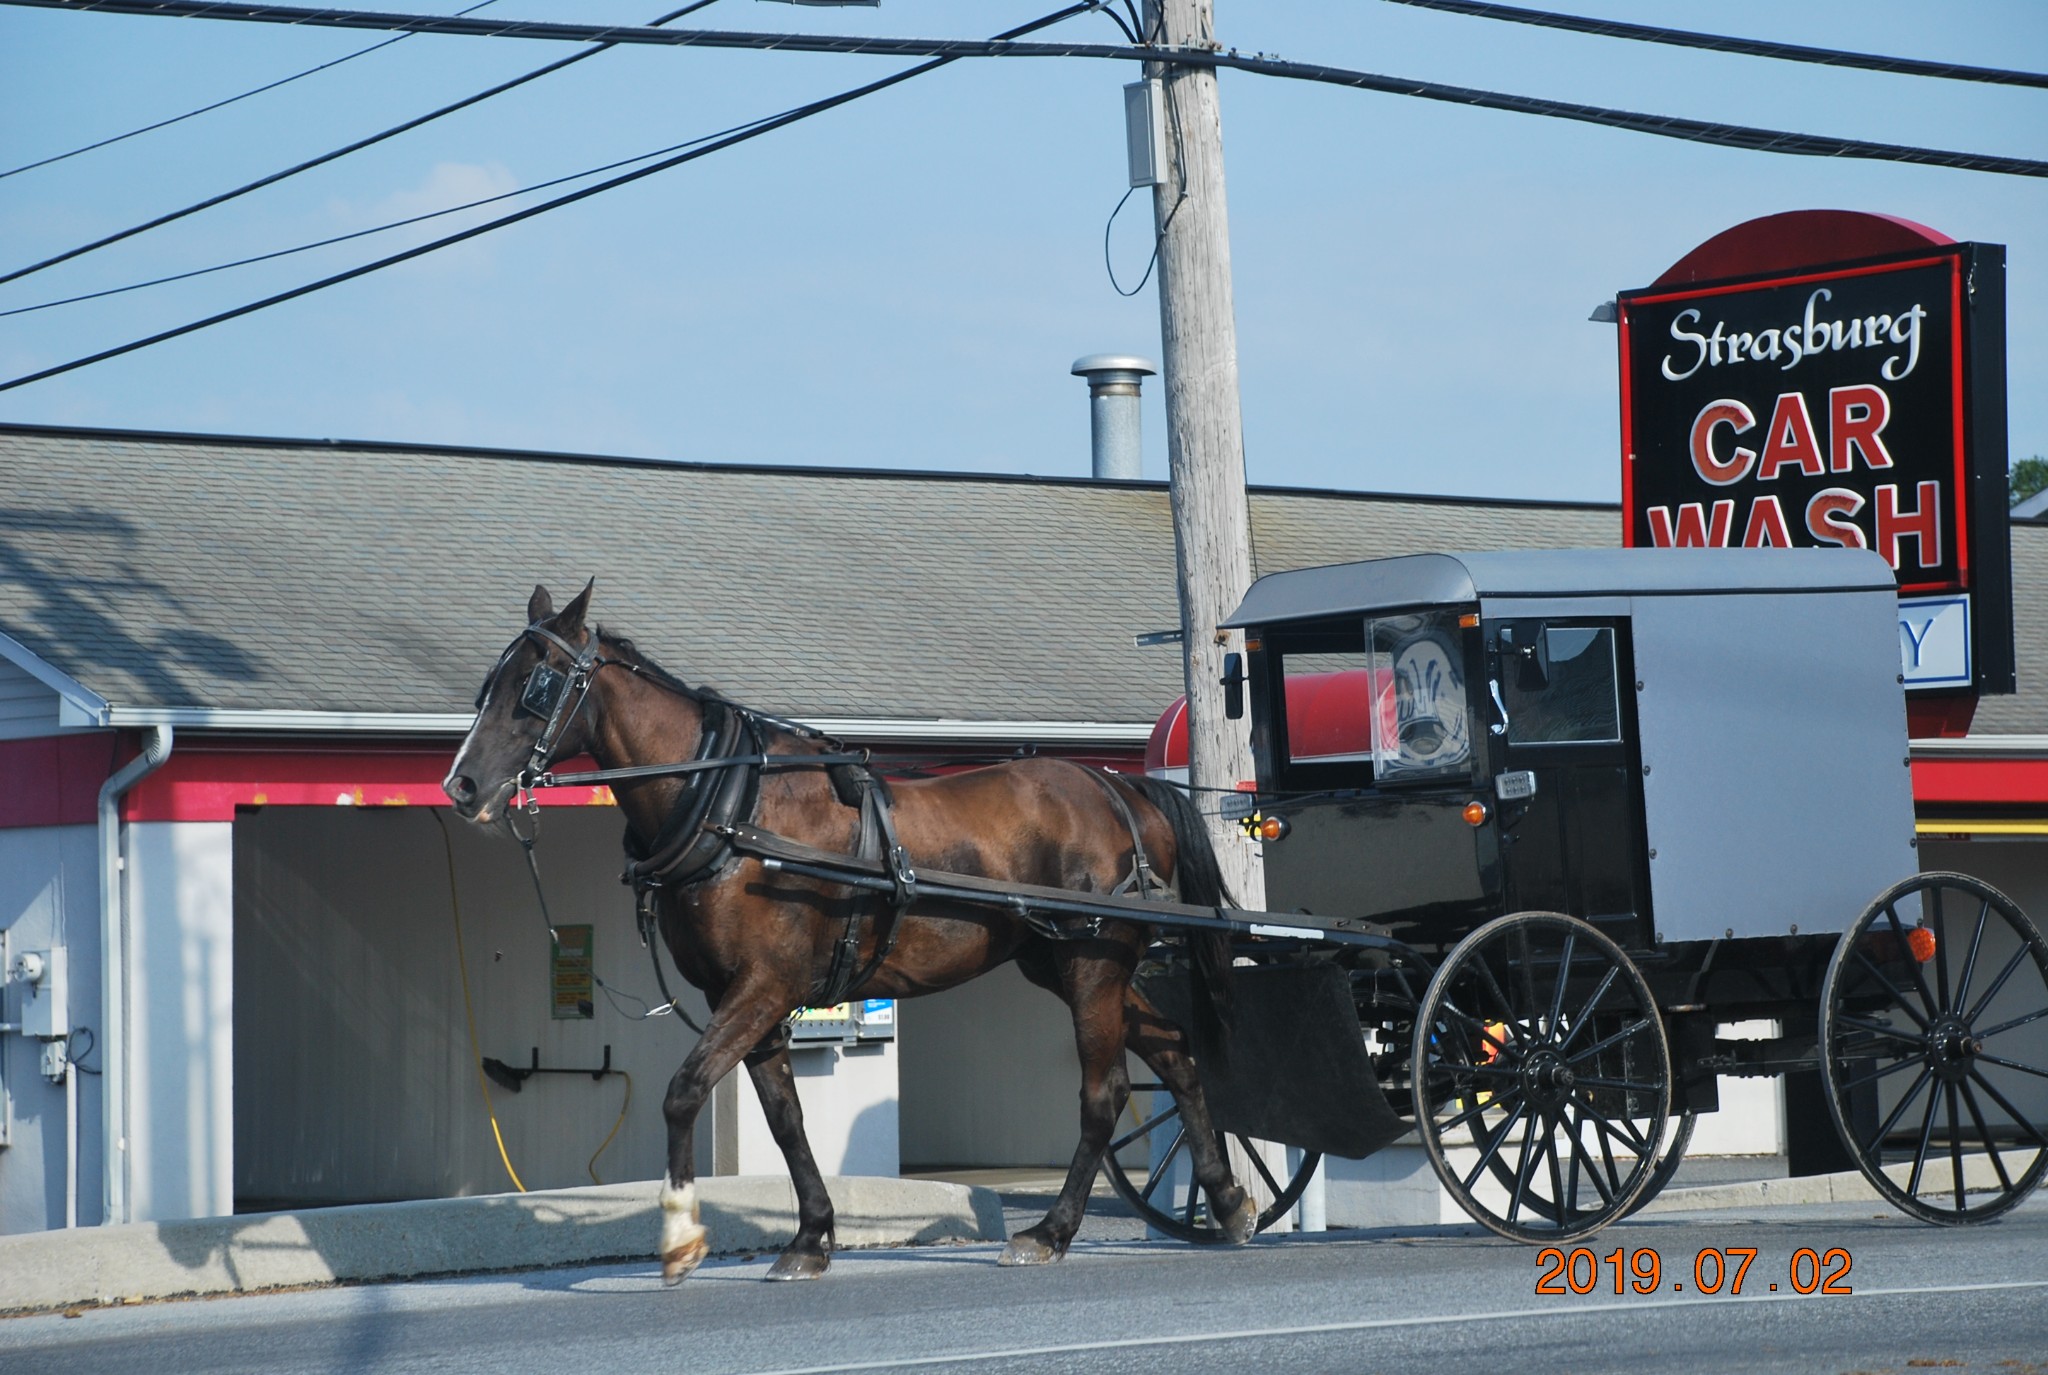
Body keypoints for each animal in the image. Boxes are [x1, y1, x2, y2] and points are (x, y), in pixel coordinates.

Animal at [442, 581, 1253, 1295]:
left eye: (537, 685)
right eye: (487, 684)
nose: (462, 786)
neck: (729, 807)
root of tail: (1123, 787)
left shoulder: (761, 986)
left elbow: (683, 1091)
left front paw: (679, 1237)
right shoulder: (745, 996)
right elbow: (785, 1118)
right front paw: (810, 1237)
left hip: (1091, 965)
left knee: (1103, 1092)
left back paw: (1051, 1231)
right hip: (1063, 962)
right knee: (1176, 1051)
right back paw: (1228, 1200)